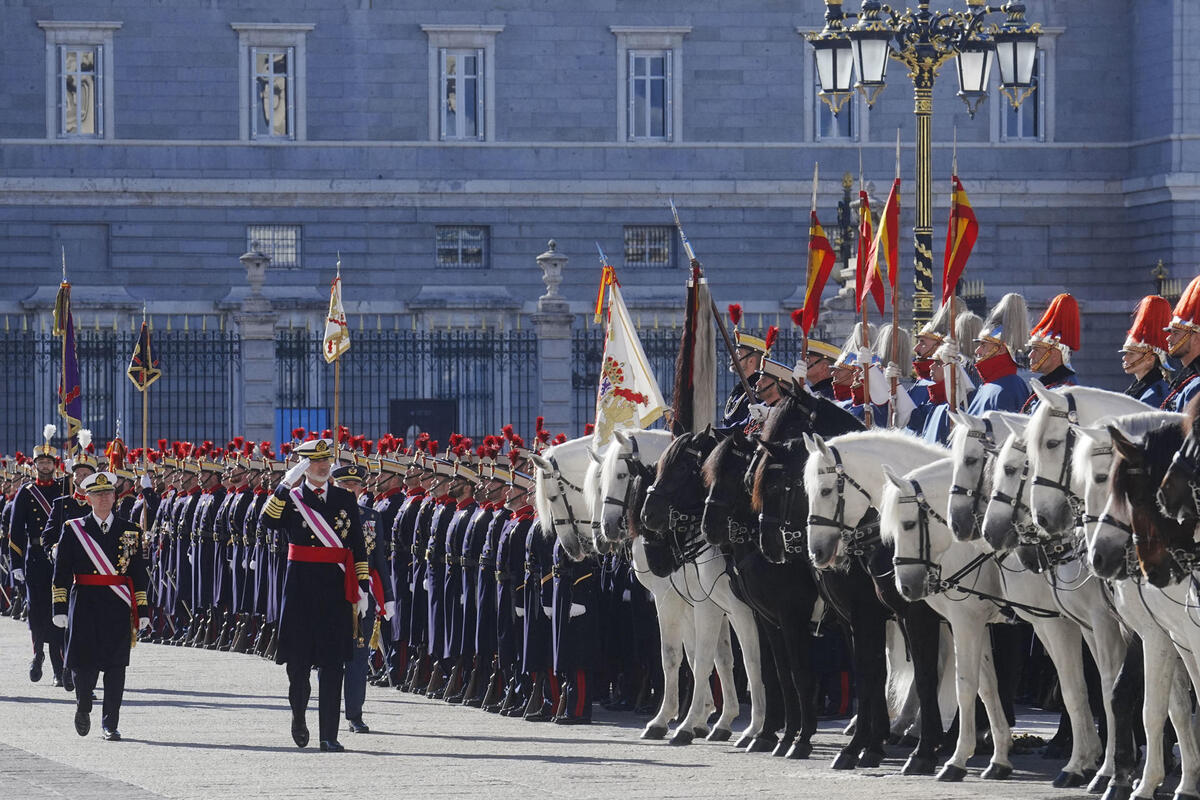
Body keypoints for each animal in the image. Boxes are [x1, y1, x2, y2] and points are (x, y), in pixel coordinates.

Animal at [748, 393, 945, 777]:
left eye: (783, 482)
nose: (770, 546)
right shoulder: (850, 618)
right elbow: (867, 674)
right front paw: (865, 745)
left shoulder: (895, 615)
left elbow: (908, 675)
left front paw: (915, 751)